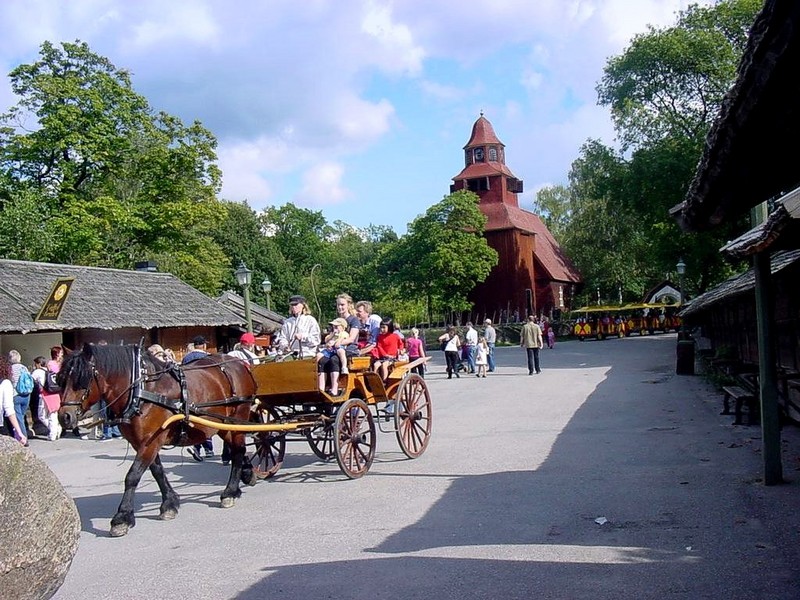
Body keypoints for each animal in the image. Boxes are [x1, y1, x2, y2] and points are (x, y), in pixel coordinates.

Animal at [57, 342, 256, 540]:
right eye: (61, 379)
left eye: (82, 380)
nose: (64, 417)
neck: (141, 392)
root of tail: (238, 363)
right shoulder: (142, 442)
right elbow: (157, 471)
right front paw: (169, 503)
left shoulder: (150, 441)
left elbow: (132, 476)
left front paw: (122, 518)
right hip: (220, 424)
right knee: (237, 448)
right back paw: (246, 474)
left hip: (237, 417)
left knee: (238, 450)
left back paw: (230, 492)